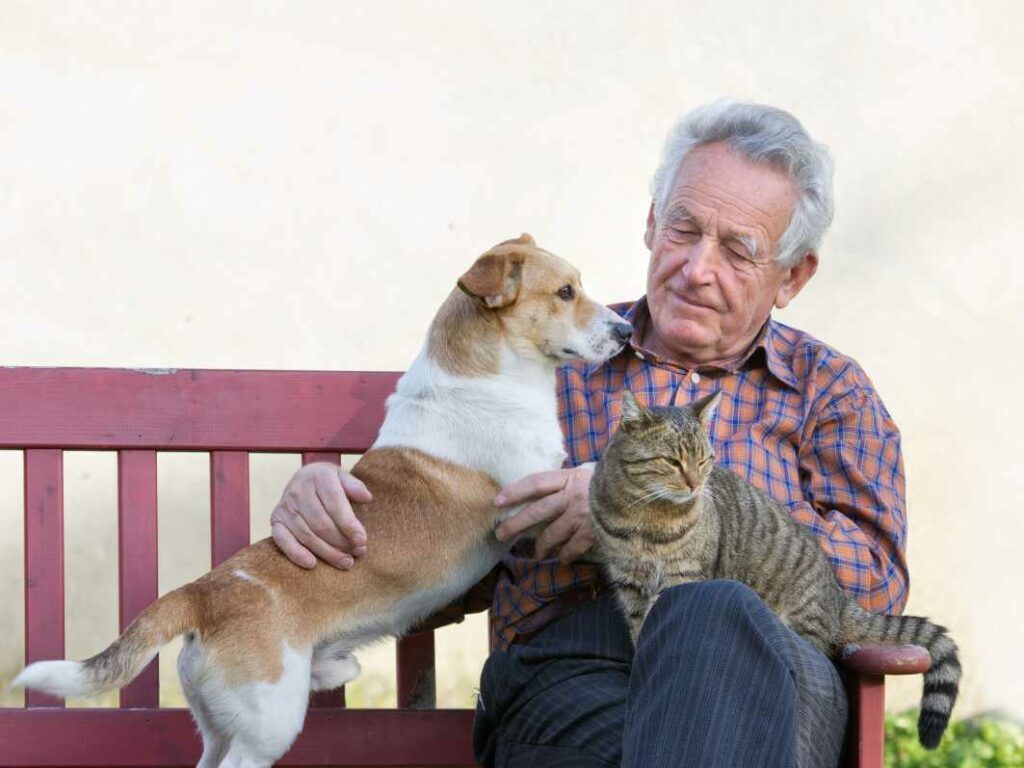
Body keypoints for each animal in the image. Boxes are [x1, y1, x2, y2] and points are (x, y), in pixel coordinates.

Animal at [16, 236, 630, 768]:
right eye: (566, 292)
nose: (626, 331)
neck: (487, 377)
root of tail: (203, 593)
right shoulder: (533, 489)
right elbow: (589, 476)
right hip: (267, 727)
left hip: (221, 728)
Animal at [589, 391, 962, 753]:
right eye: (672, 462)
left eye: (704, 460)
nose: (695, 484)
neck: (647, 518)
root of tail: (839, 598)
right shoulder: (630, 585)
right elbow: (639, 631)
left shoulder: (682, 578)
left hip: (800, 621)